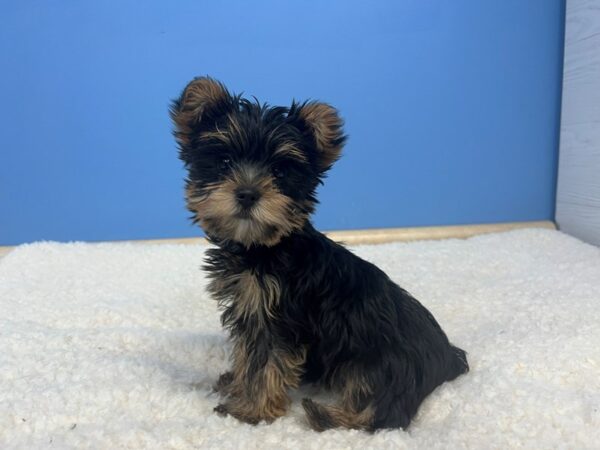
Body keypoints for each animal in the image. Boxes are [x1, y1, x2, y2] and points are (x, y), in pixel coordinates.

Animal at [170, 77, 468, 432]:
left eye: (280, 172)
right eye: (224, 162)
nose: (247, 193)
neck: (265, 247)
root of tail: (447, 357)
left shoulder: (279, 318)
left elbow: (266, 362)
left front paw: (252, 410)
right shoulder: (252, 308)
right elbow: (249, 355)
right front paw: (238, 385)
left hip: (382, 361)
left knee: (385, 413)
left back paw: (323, 413)